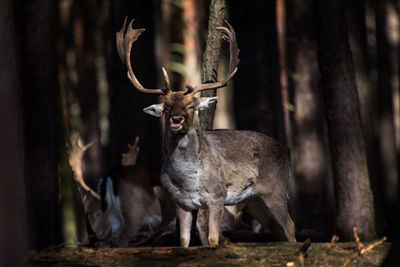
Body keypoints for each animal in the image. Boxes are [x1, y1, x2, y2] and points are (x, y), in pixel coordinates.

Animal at [117, 17, 296, 247]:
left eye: (192, 106)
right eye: (166, 107)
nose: (176, 119)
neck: (188, 181)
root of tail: (287, 149)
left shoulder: (217, 196)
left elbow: (212, 238)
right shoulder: (181, 203)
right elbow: (183, 240)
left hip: (276, 189)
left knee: (290, 226)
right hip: (254, 200)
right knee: (277, 230)